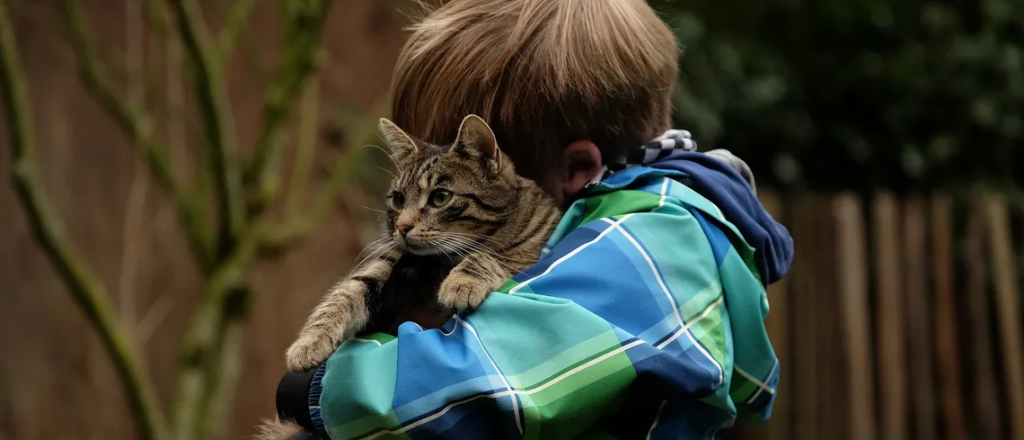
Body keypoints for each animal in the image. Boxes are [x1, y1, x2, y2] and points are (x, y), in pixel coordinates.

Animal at [284, 113, 565, 370]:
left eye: (440, 198)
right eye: (398, 199)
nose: (401, 227)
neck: (443, 260)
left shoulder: (530, 250)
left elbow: (491, 255)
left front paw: (461, 282)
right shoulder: (390, 262)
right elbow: (343, 294)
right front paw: (309, 342)